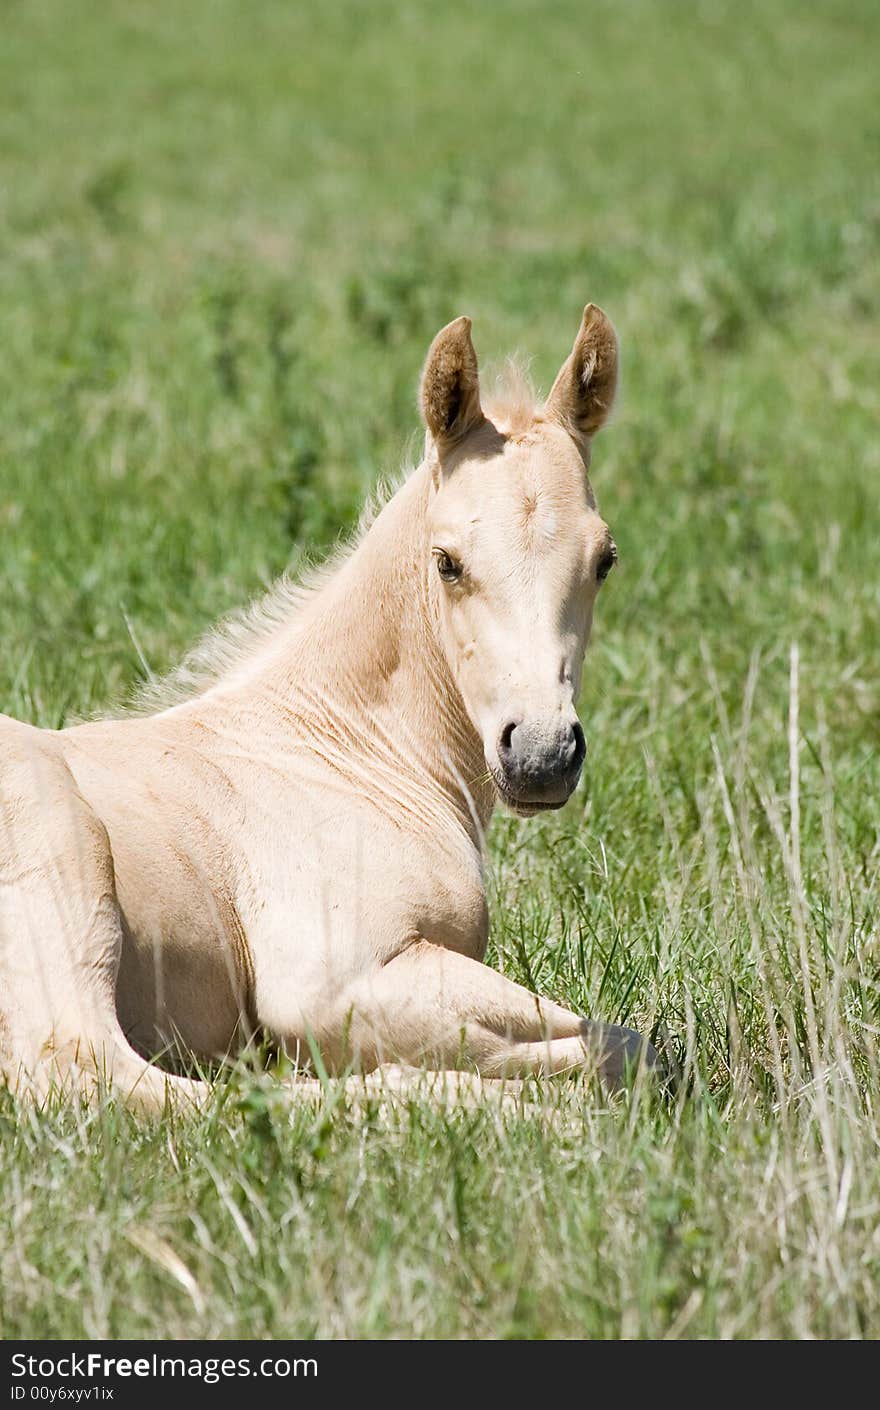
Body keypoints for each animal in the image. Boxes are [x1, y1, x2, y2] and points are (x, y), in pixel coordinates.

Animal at [0, 303, 654, 1105]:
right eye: (447, 562)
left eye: (605, 561)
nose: (542, 756)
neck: (344, 750)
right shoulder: (330, 982)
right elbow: (624, 1050)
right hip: (68, 875)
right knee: (106, 1071)